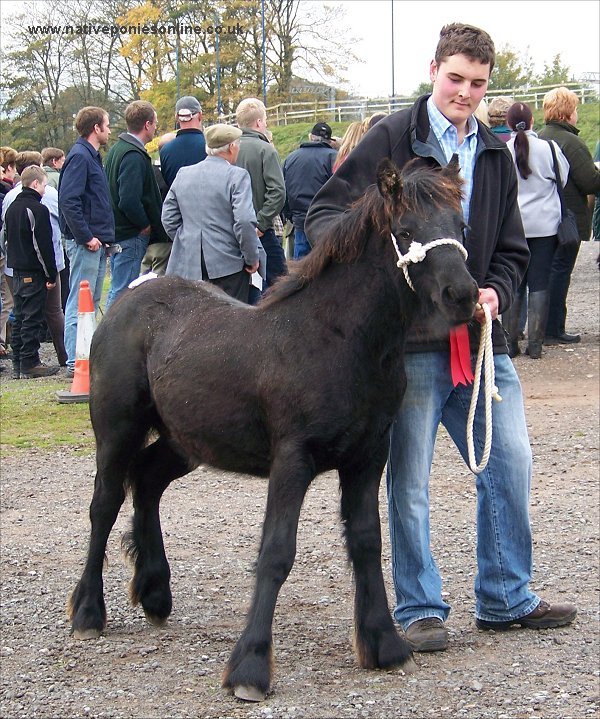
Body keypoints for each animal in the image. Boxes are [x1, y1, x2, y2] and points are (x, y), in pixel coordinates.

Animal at [67, 159, 478, 704]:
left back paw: (155, 591)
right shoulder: (292, 459)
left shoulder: (368, 457)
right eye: (406, 230)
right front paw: (250, 667)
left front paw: (384, 645)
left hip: (186, 441)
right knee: (105, 504)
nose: (463, 296)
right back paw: (88, 611)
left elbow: (367, 541)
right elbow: (276, 553)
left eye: (460, 225)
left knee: (148, 482)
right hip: (117, 430)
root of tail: (126, 300)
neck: (337, 340)